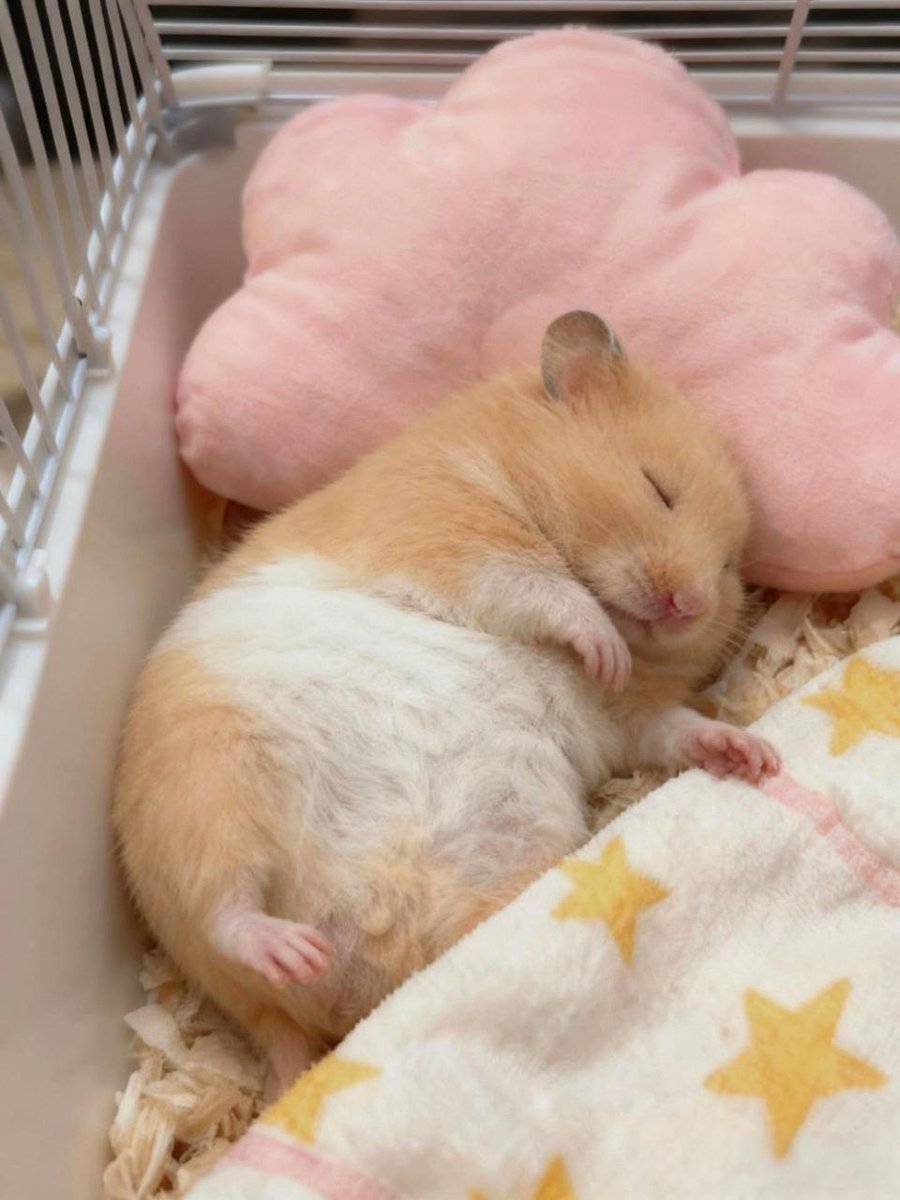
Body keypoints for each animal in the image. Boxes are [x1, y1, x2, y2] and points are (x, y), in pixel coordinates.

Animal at [113, 311, 779, 1089]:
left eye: (730, 565)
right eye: (658, 489)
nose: (691, 603)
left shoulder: (627, 720)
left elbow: (670, 727)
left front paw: (750, 753)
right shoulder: (444, 522)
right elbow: (543, 589)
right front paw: (602, 646)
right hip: (207, 784)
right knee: (224, 908)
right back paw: (285, 950)